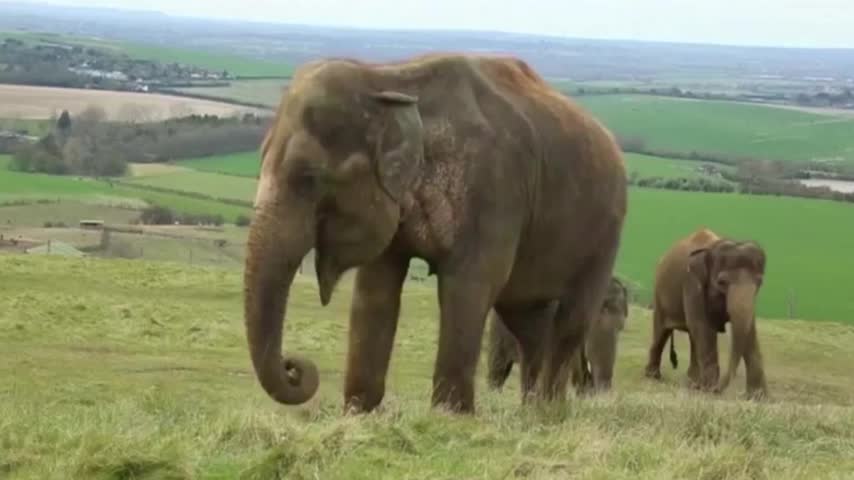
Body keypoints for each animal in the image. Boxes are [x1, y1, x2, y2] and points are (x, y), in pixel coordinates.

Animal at [644, 227, 772, 400]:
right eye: (722, 282)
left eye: (759, 283)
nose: (718, 389)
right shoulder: (691, 283)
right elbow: (703, 327)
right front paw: (709, 390)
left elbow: (750, 332)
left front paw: (759, 397)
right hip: (659, 294)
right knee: (662, 332)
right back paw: (653, 376)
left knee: (692, 336)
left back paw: (693, 383)